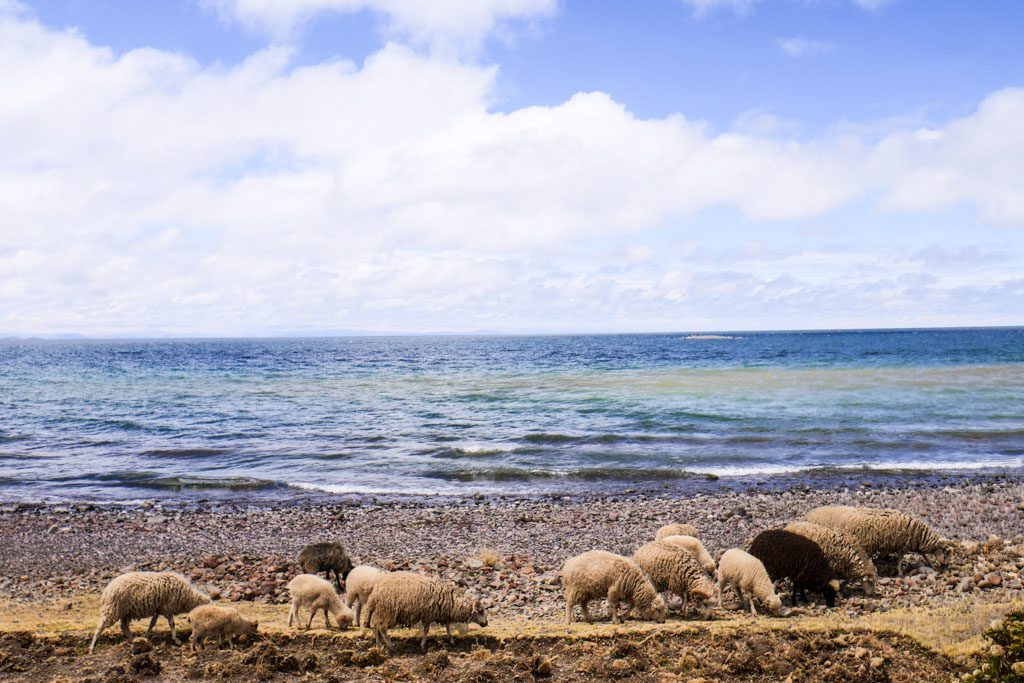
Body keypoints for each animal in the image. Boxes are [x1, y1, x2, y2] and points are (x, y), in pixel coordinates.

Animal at [802, 505, 946, 573]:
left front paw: (932, 565)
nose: (944, 566)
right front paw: (900, 572)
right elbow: (901, 559)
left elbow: (922, 555)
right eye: (946, 552)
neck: (919, 534)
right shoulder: (903, 545)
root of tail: (809, 513)